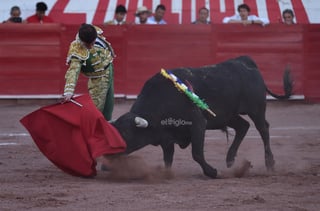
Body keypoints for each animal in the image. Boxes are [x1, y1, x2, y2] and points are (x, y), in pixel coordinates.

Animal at [112, 56, 292, 178]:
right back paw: (230, 159)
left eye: (126, 133)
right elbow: (168, 158)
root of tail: (245, 61)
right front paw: (166, 174)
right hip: (227, 115)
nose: (109, 156)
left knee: (263, 129)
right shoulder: (166, 137)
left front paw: (212, 172)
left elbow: (196, 153)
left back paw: (269, 163)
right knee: (243, 126)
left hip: (256, 109)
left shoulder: (198, 123)